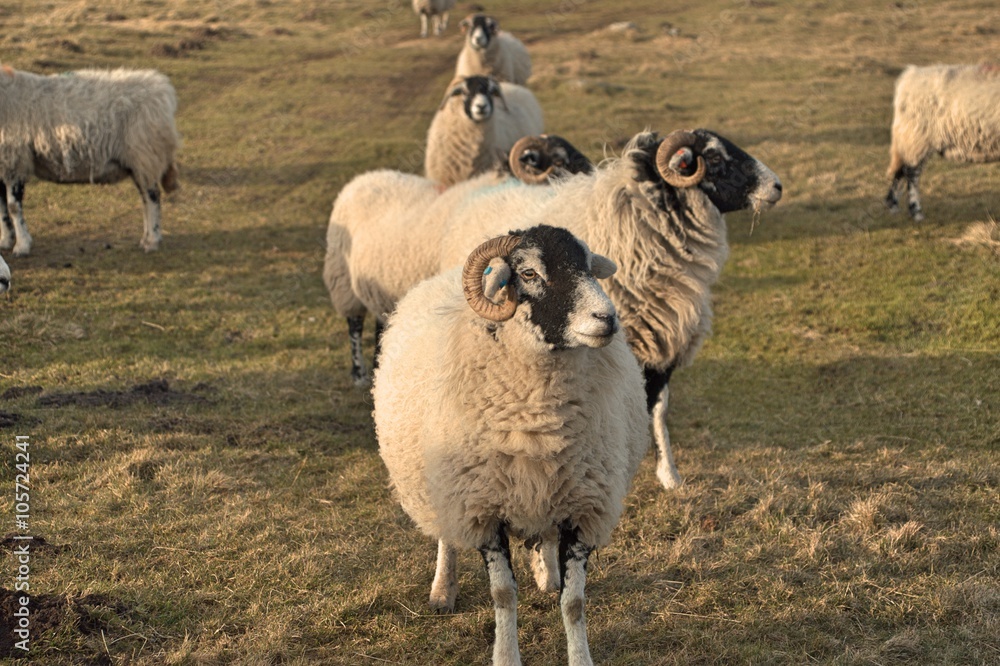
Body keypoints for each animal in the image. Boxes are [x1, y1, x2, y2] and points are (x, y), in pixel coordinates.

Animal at [0, 66, 180, 257]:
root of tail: (161, 88)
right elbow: (2, 207)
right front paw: (5, 241)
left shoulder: (14, 161)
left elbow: (13, 206)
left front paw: (22, 246)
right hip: (138, 162)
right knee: (145, 198)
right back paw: (146, 238)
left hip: (145, 155)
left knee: (152, 197)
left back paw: (152, 241)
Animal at [323, 135, 593, 386]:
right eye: (560, 160)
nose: (591, 173)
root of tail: (364, 177)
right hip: (342, 279)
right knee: (354, 324)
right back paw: (359, 374)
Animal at [373, 225, 649, 665]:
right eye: (530, 273)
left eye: (588, 266)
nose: (607, 319)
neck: (539, 424)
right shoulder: (482, 507)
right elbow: (503, 594)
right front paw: (506, 655)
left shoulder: (583, 507)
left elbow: (574, 603)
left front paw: (579, 654)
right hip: (441, 484)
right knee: (446, 536)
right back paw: (442, 590)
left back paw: (546, 573)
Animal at [885, 63, 1000, 222]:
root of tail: (909, 75)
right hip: (917, 137)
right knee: (911, 173)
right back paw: (916, 212)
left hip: (909, 139)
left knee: (900, 170)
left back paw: (893, 205)